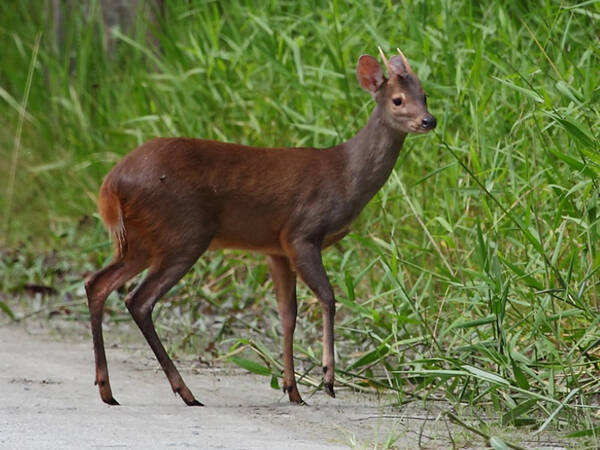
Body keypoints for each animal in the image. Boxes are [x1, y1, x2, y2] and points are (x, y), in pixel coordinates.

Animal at [84, 47, 436, 406]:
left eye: (424, 95)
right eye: (397, 100)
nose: (429, 120)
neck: (346, 176)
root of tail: (111, 184)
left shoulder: (275, 248)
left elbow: (287, 316)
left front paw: (293, 389)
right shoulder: (302, 232)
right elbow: (328, 297)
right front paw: (327, 377)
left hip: (140, 241)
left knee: (97, 282)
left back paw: (107, 389)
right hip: (183, 233)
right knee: (139, 300)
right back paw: (184, 391)